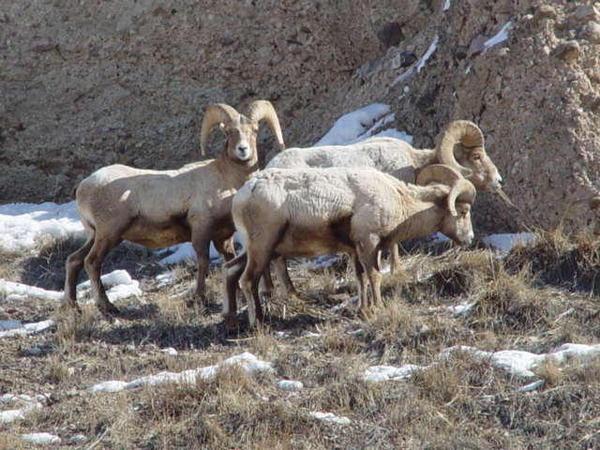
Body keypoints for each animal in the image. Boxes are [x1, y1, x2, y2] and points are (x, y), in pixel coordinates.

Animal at [64, 100, 284, 314]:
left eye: (254, 130)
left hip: (97, 235)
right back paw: (107, 308)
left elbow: (229, 261)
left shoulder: (223, 237)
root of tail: (83, 186)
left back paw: (75, 307)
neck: (227, 178)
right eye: (229, 132)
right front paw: (199, 299)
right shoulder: (201, 229)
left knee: (74, 260)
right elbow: (203, 261)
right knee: (92, 263)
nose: (243, 150)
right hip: (109, 234)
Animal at [223, 163, 476, 328]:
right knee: (247, 281)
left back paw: (231, 317)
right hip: (262, 248)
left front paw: (363, 311)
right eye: (463, 211)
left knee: (230, 271)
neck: (399, 199)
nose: (470, 238)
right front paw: (378, 308)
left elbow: (360, 278)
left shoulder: (356, 250)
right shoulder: (369, 242)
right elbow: (375, 276)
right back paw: (258, 323)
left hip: (255, 251)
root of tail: (242, 195)